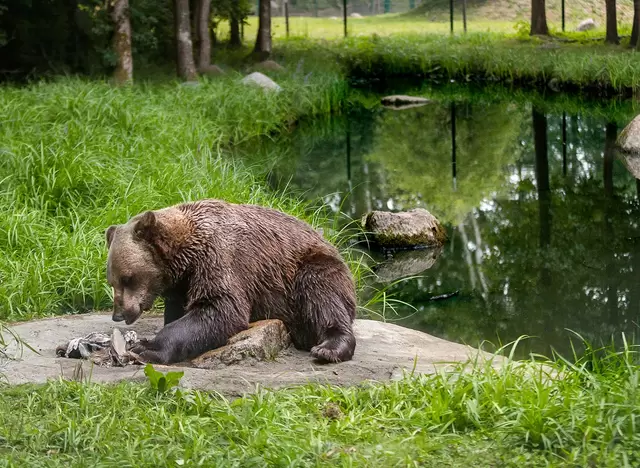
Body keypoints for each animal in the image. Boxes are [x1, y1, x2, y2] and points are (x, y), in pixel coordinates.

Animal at [102, 197, 358, 366]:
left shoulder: (221, 258)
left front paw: (146, 346)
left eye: (127, 278)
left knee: (322, 297)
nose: (119, 314)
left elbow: (221, 308)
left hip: (306, 268)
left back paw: (329, 348)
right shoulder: (183, 284)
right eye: (111, 281)